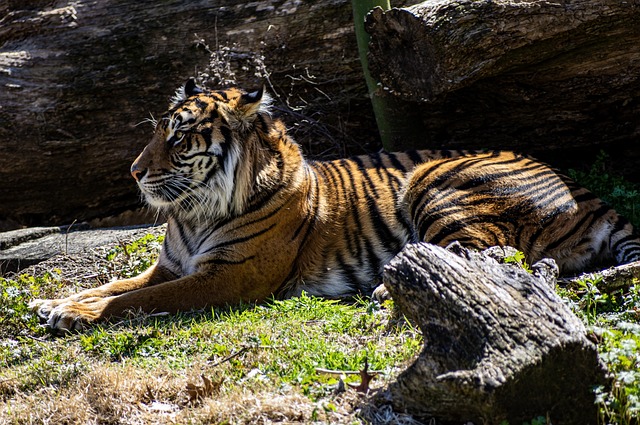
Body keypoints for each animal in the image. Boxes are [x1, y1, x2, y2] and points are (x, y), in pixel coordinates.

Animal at [30, 79, 640, 332]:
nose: (134, 171)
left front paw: (75, 314)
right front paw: (57, 302)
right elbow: (117, 285)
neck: (197, 210)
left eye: (178, 138)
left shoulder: (230, 275)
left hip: (438, 184)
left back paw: (388, 292)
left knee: (489, 260)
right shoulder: (170, 264)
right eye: (158, 131)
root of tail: (587, 194)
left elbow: (136, 300)